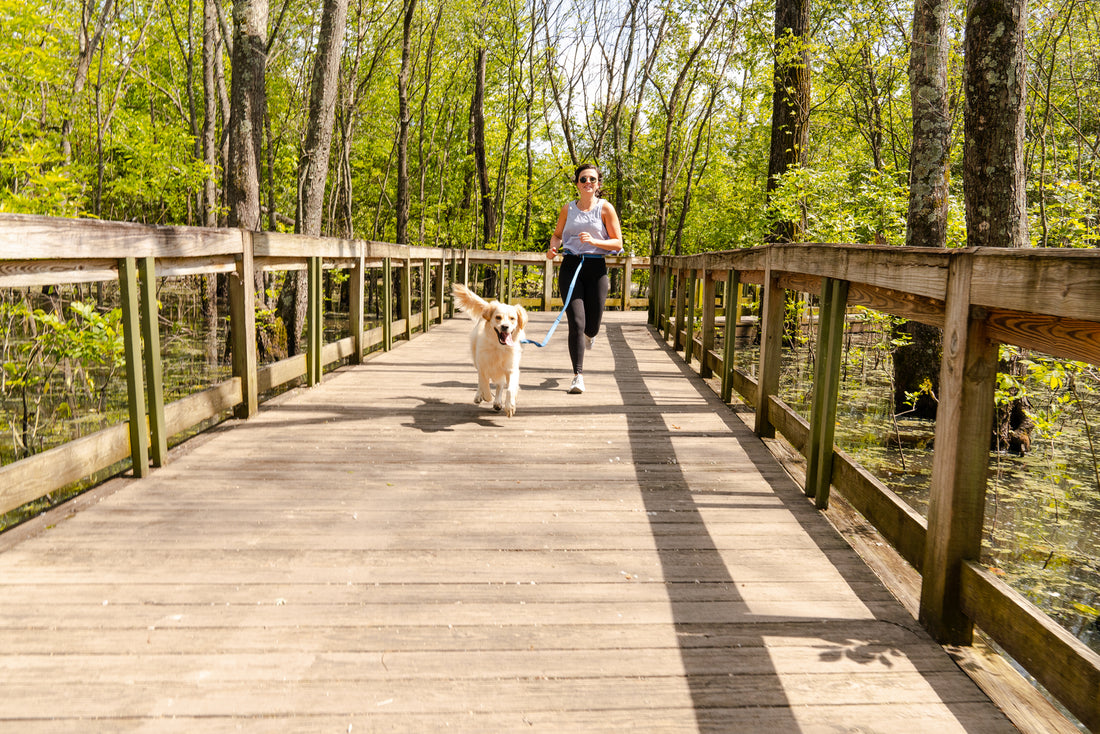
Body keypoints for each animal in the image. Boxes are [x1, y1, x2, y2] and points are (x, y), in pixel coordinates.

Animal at [451, 283, 528, 415]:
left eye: (512, 318)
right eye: (498, 317)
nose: (505, 326)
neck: (499, 347)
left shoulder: (511, 369)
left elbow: (510, 388)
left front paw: (509, 406)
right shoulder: (482, 366)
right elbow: (484, 384)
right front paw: (486, 396)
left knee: (500, 384)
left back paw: (497, 402)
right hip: (476, 360)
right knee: (481, 382)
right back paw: (480, 396)